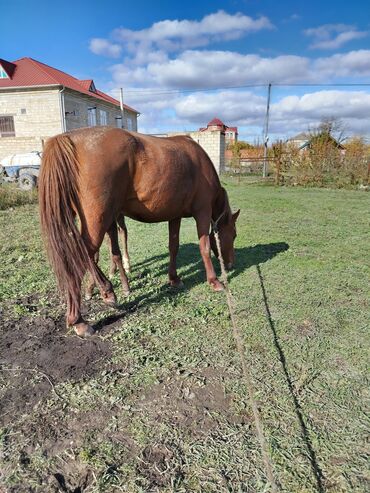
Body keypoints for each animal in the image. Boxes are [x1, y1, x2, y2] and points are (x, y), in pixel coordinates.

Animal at [38, 127, 240, 336]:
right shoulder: (202, 212)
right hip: (98, 220)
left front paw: (174, 278)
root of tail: (69, 138)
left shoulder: (174, 216)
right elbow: (205, 247)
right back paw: (80, 318)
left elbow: (173, 247)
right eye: (233, 235)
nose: (231, 264)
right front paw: (214, 281)